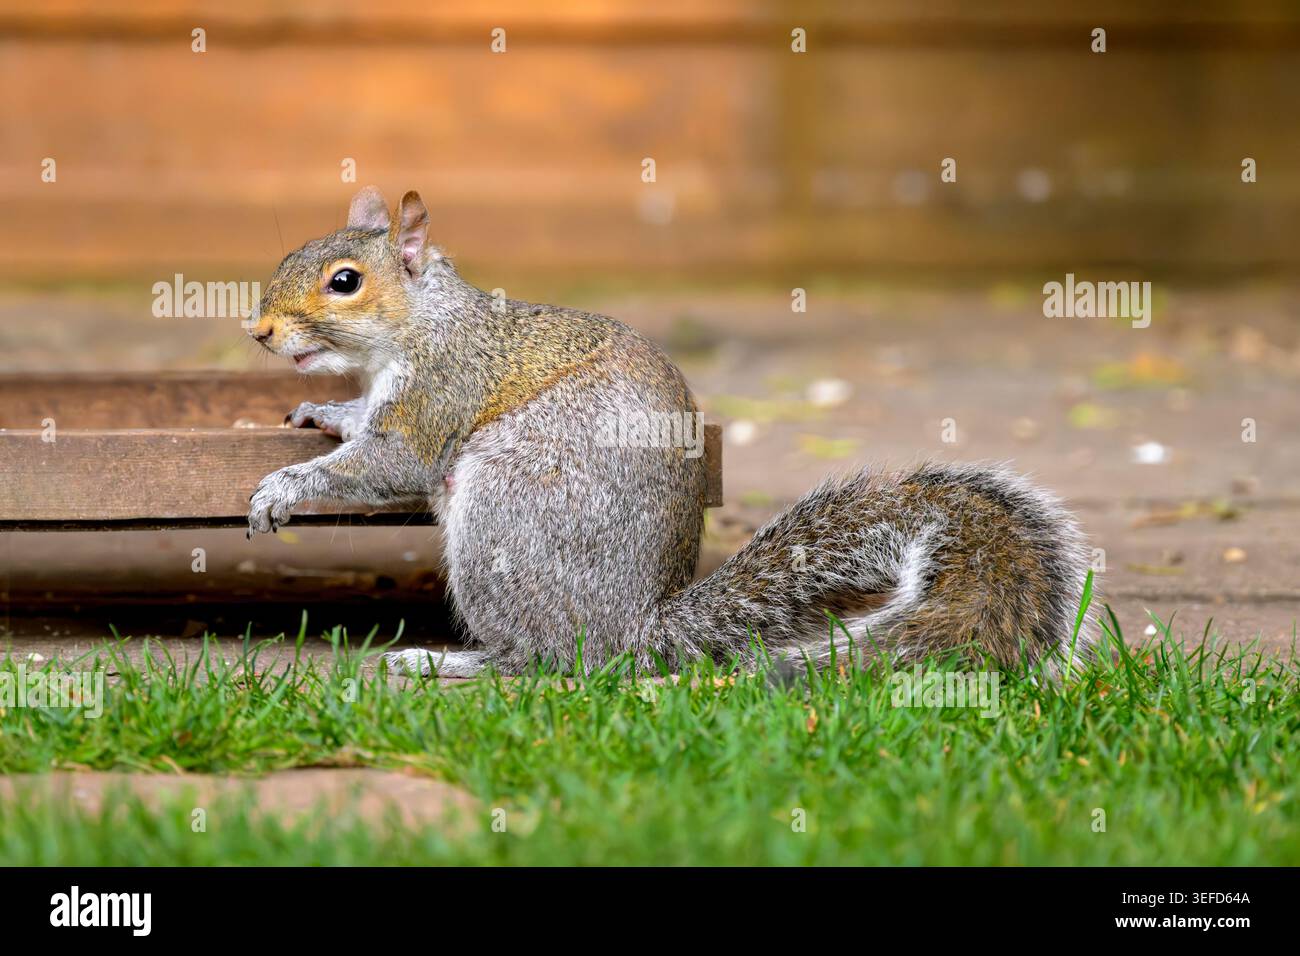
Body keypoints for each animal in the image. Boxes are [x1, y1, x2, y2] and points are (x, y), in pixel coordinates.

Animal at [246, 186, 1094, 678]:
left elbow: (389, 462)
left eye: (345, 282)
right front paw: (325, 414)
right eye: (291, 253)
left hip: (506, 518)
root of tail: (635, 629)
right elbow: (360, 424)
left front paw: (284, 487)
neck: (422, 324)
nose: (259, 332)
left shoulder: (440, 390)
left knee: (551, 659)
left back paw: (453, 663)